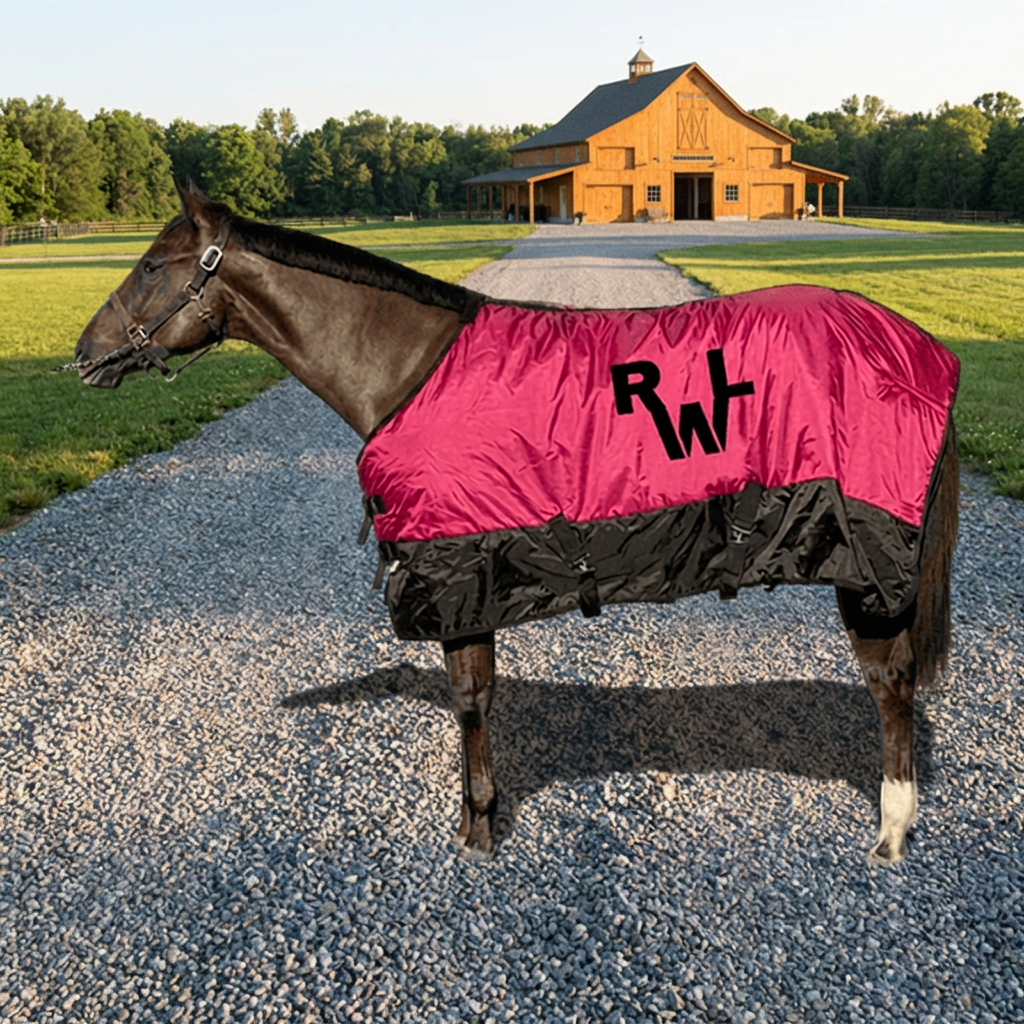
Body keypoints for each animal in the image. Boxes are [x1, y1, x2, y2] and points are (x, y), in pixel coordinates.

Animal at [72, 183, 959, 865]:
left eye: (151, 265)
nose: (83, 355)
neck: (411, 370)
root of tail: (921, 349)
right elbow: (481, 698)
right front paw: (484, 819)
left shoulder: (460, 573)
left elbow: (470, 702)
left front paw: (476, 830)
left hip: (865, 561)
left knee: (891, 684)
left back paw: (891, 831)